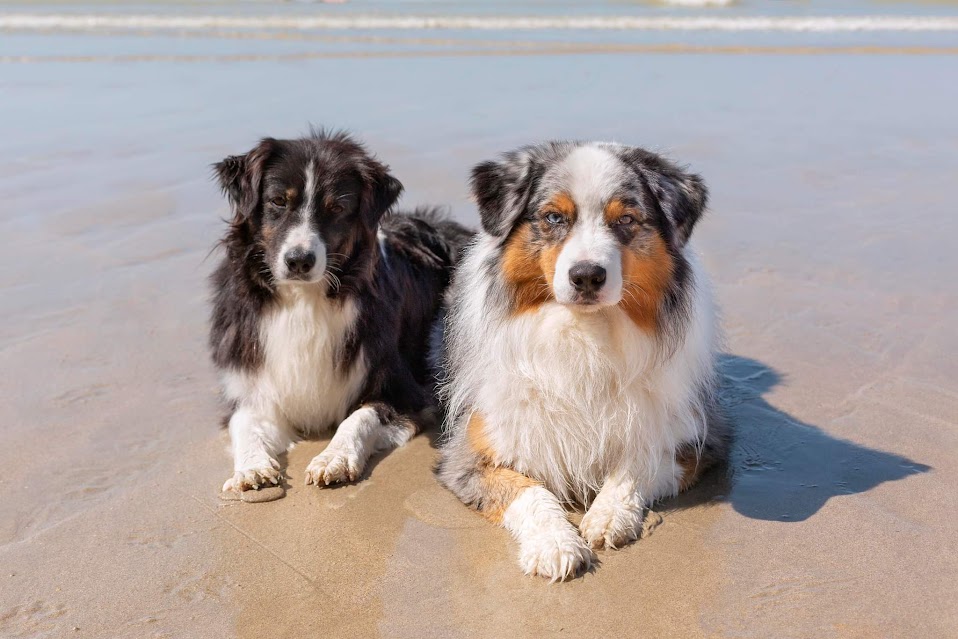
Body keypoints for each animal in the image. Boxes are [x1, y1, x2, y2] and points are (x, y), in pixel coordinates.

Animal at [215, 130, 476, 496]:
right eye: (278, 201)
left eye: (336, 208)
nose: (299, 261)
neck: (306, 300)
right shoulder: (255, 384)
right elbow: (243, 423)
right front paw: (251, 467)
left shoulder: (406, 390)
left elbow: (359, 417)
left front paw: (334, 457)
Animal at [436, 140, 728, 580]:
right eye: (554, 217)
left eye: (626, 219)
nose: (587, 275)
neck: (584, 337)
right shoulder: (466, 457)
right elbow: (529, 490)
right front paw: (555, 544)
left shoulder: (695, 439)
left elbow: (636, 463)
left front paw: (609, 516)